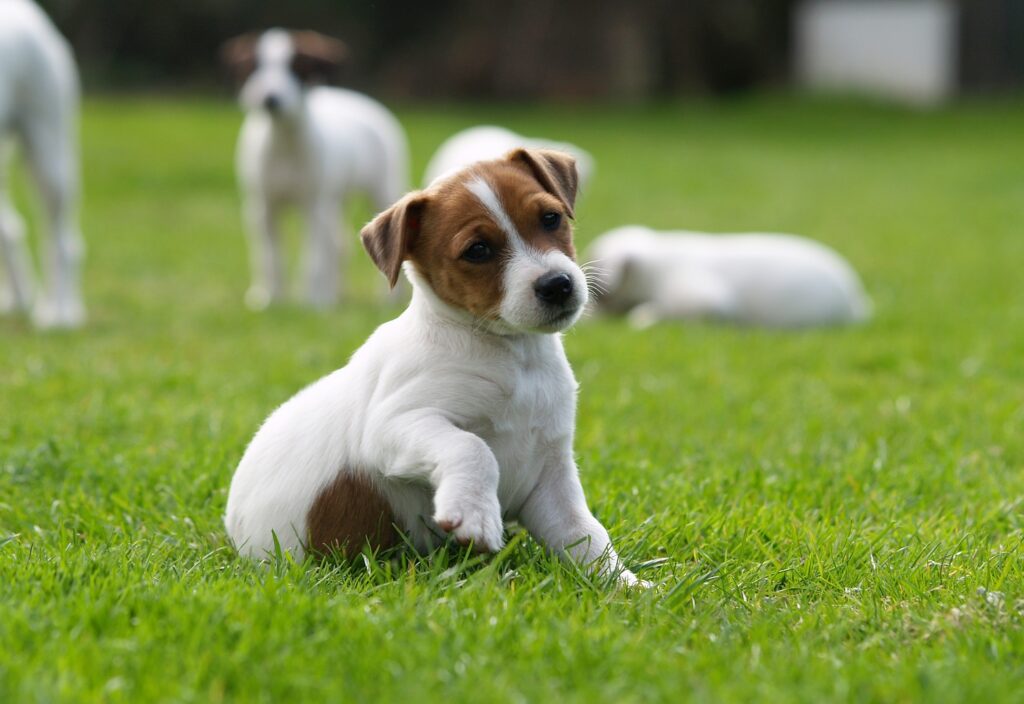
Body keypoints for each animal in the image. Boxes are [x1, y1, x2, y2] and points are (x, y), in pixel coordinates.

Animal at [222, 28, 409, 306]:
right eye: (253, 66)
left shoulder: (314, 207)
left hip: (380, 189)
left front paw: (315, 302)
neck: (284, 143)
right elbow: (270, 257)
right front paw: (270, 297)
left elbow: (314, 260)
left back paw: (388, 299)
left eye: (297, 67)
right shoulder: (263, 207)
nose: (269, 99)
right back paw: (335, 290)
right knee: (337, 244)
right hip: (333, 203)